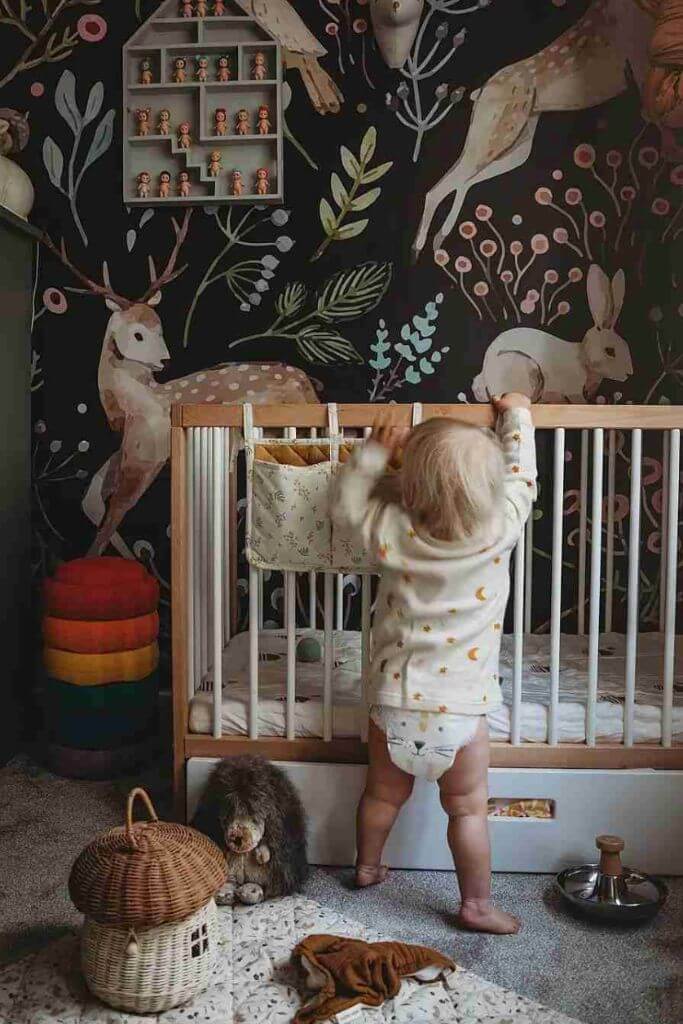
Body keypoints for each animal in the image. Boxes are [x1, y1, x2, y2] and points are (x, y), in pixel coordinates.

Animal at [44, 210, 317, 557]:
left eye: (160, 328)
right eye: (138, 334)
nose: (166, 359)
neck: (127, 410)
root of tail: (311, 390)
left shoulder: (148, 453)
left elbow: (113, 514)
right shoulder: (129, 448)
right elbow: (92, 500)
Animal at [411, 0, 655, 260]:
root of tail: (480, 92)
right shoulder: (639, 63)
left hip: (518, 144)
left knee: (463, 179)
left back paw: (438, 240)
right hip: (497, 135)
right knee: (441, 186)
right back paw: (418, 250)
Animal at [473, 264, 634, 403]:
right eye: (610, 351)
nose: (630, 373)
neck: (584, 358)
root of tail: (484, 375)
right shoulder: (573, 392)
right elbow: (579, 401)